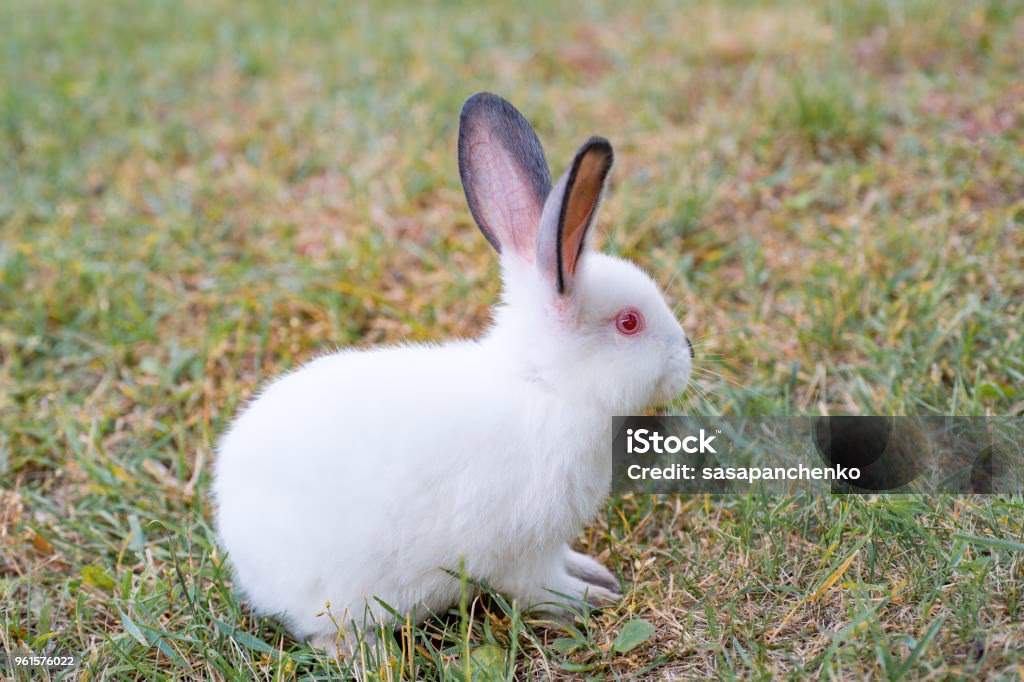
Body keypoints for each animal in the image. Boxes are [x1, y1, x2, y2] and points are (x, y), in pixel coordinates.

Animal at [212, 92, 693, 656]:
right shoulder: (523, 554)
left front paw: (597, 575)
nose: (686, 353)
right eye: (629, 322)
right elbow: (542, 588)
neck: (546, 386)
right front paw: (593, 599)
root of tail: (240, 547)